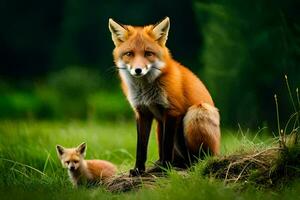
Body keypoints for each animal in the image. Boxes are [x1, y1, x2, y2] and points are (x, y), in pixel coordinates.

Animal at [109, 17, 221, 177]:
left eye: (148, 53)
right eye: (129, 53)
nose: (138, 70)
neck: (146, 93)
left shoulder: (172, 111)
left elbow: (167, 146)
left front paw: (166, 169)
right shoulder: (142, 113)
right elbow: (141, 148)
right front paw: (138, 170)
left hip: (196, 112)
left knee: (198, 159)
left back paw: (184, 164)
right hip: (159, 126)